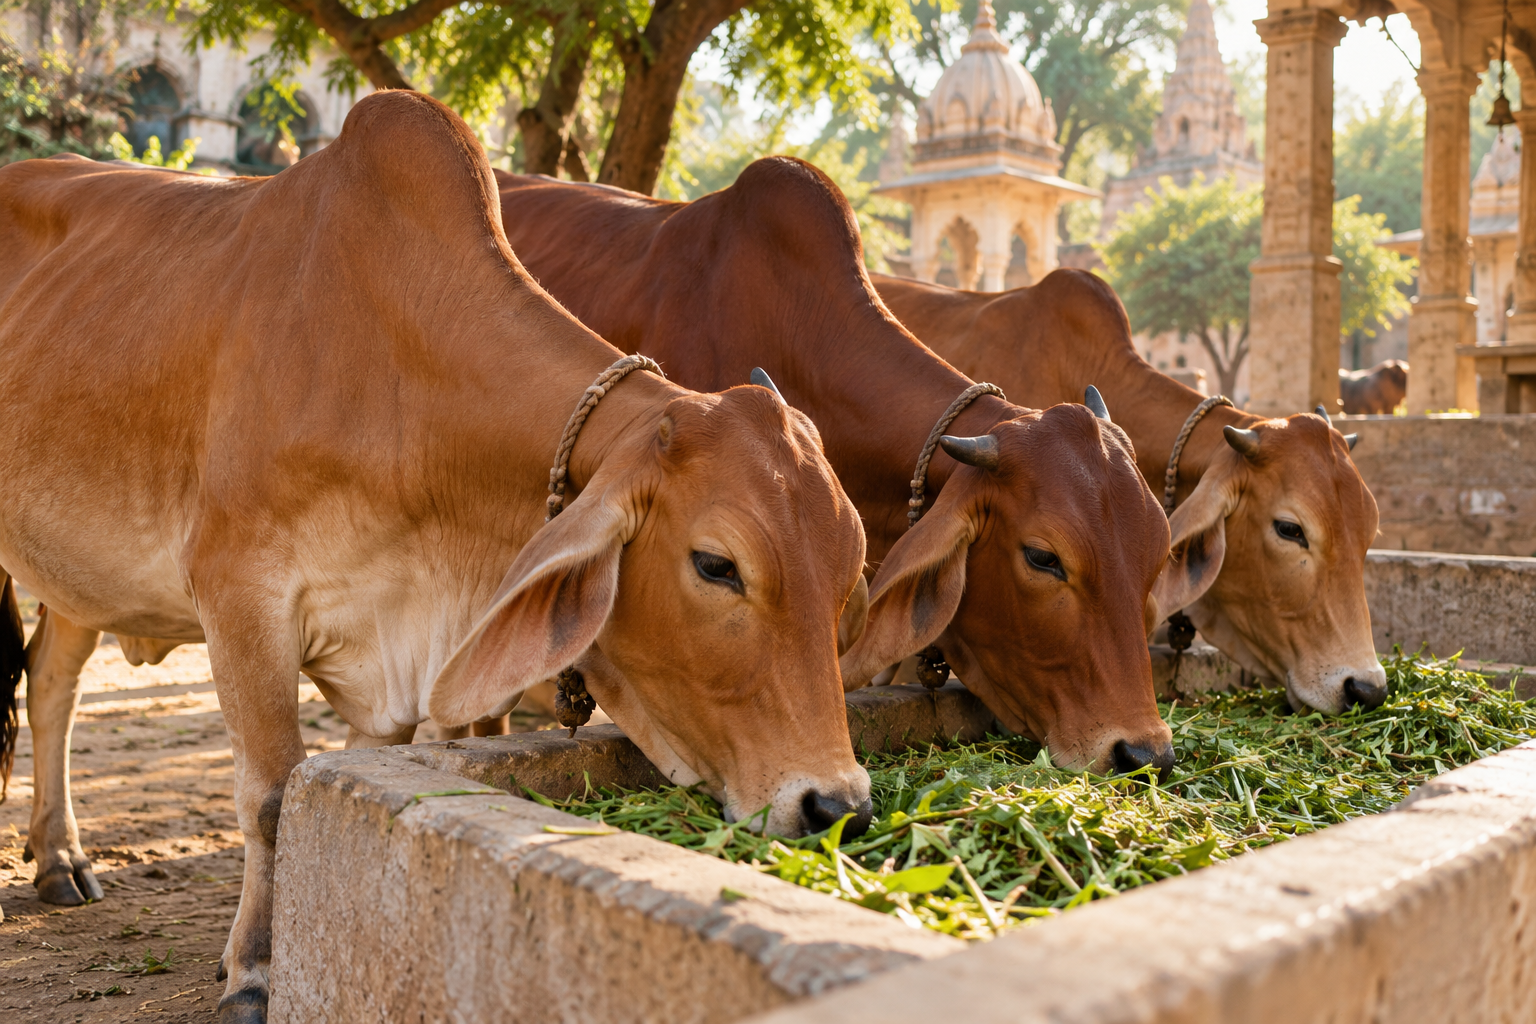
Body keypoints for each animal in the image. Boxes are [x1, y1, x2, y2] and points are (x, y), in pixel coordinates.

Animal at [0, 92, 872, 1022]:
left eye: (847, 572)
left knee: (52, 679)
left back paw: (60, 860)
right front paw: (256, 974)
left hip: (77, 568)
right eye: (716, 565)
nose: (836, 805)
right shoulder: (241, 597)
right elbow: (272, 796)